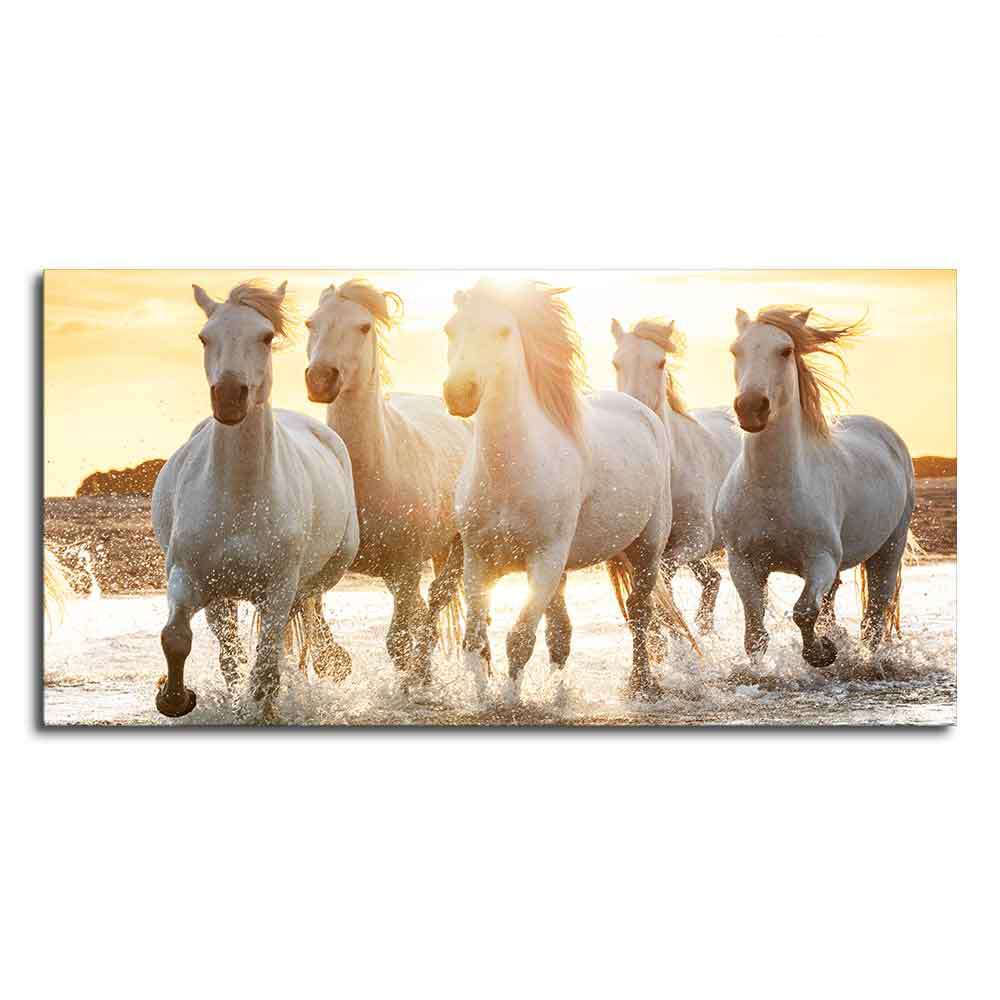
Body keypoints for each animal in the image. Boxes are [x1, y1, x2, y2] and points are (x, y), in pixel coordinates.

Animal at [151, 281, 360, 718]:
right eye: (204, 337)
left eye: (265, 337)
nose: (230, 397)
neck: (241, 497)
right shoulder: (191, 579)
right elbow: (179, 638)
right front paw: (175, 698)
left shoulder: (278, 590)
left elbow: (265, 668)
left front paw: (264, 708)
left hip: (319, 575)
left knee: (306, 617)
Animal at [304, 280, 471, 684]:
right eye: (310, 323)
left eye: (364, 327)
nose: (321, 379)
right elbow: (315, 625)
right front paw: (334, 661)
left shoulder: (407, 568)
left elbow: (398, 641)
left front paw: (410, 683)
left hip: (452, 551)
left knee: (433, 605)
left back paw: (423, 674)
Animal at [442, 279, 696, 701]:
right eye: (450, 329)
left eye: (503, 331)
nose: (459, 393)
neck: (510, 471)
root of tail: (642, 411)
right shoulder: (478, 560)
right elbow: (477, 640)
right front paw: (482, 698)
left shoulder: (545, 560)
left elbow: (519, 639)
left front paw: (509, 701)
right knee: (562, 633)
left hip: (646, 548)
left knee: (639, 613)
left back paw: (641, 684)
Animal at [716, 306, 915, 669]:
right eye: (735, 350)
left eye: (785, 350)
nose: (751, 407)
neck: (772, 487)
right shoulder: (743, 563)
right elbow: (755, 632)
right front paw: (760, 671)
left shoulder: (820, 560)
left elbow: (804, 611)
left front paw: (822, 652)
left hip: (890, 547)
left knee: (875, 615)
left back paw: (868, 660)